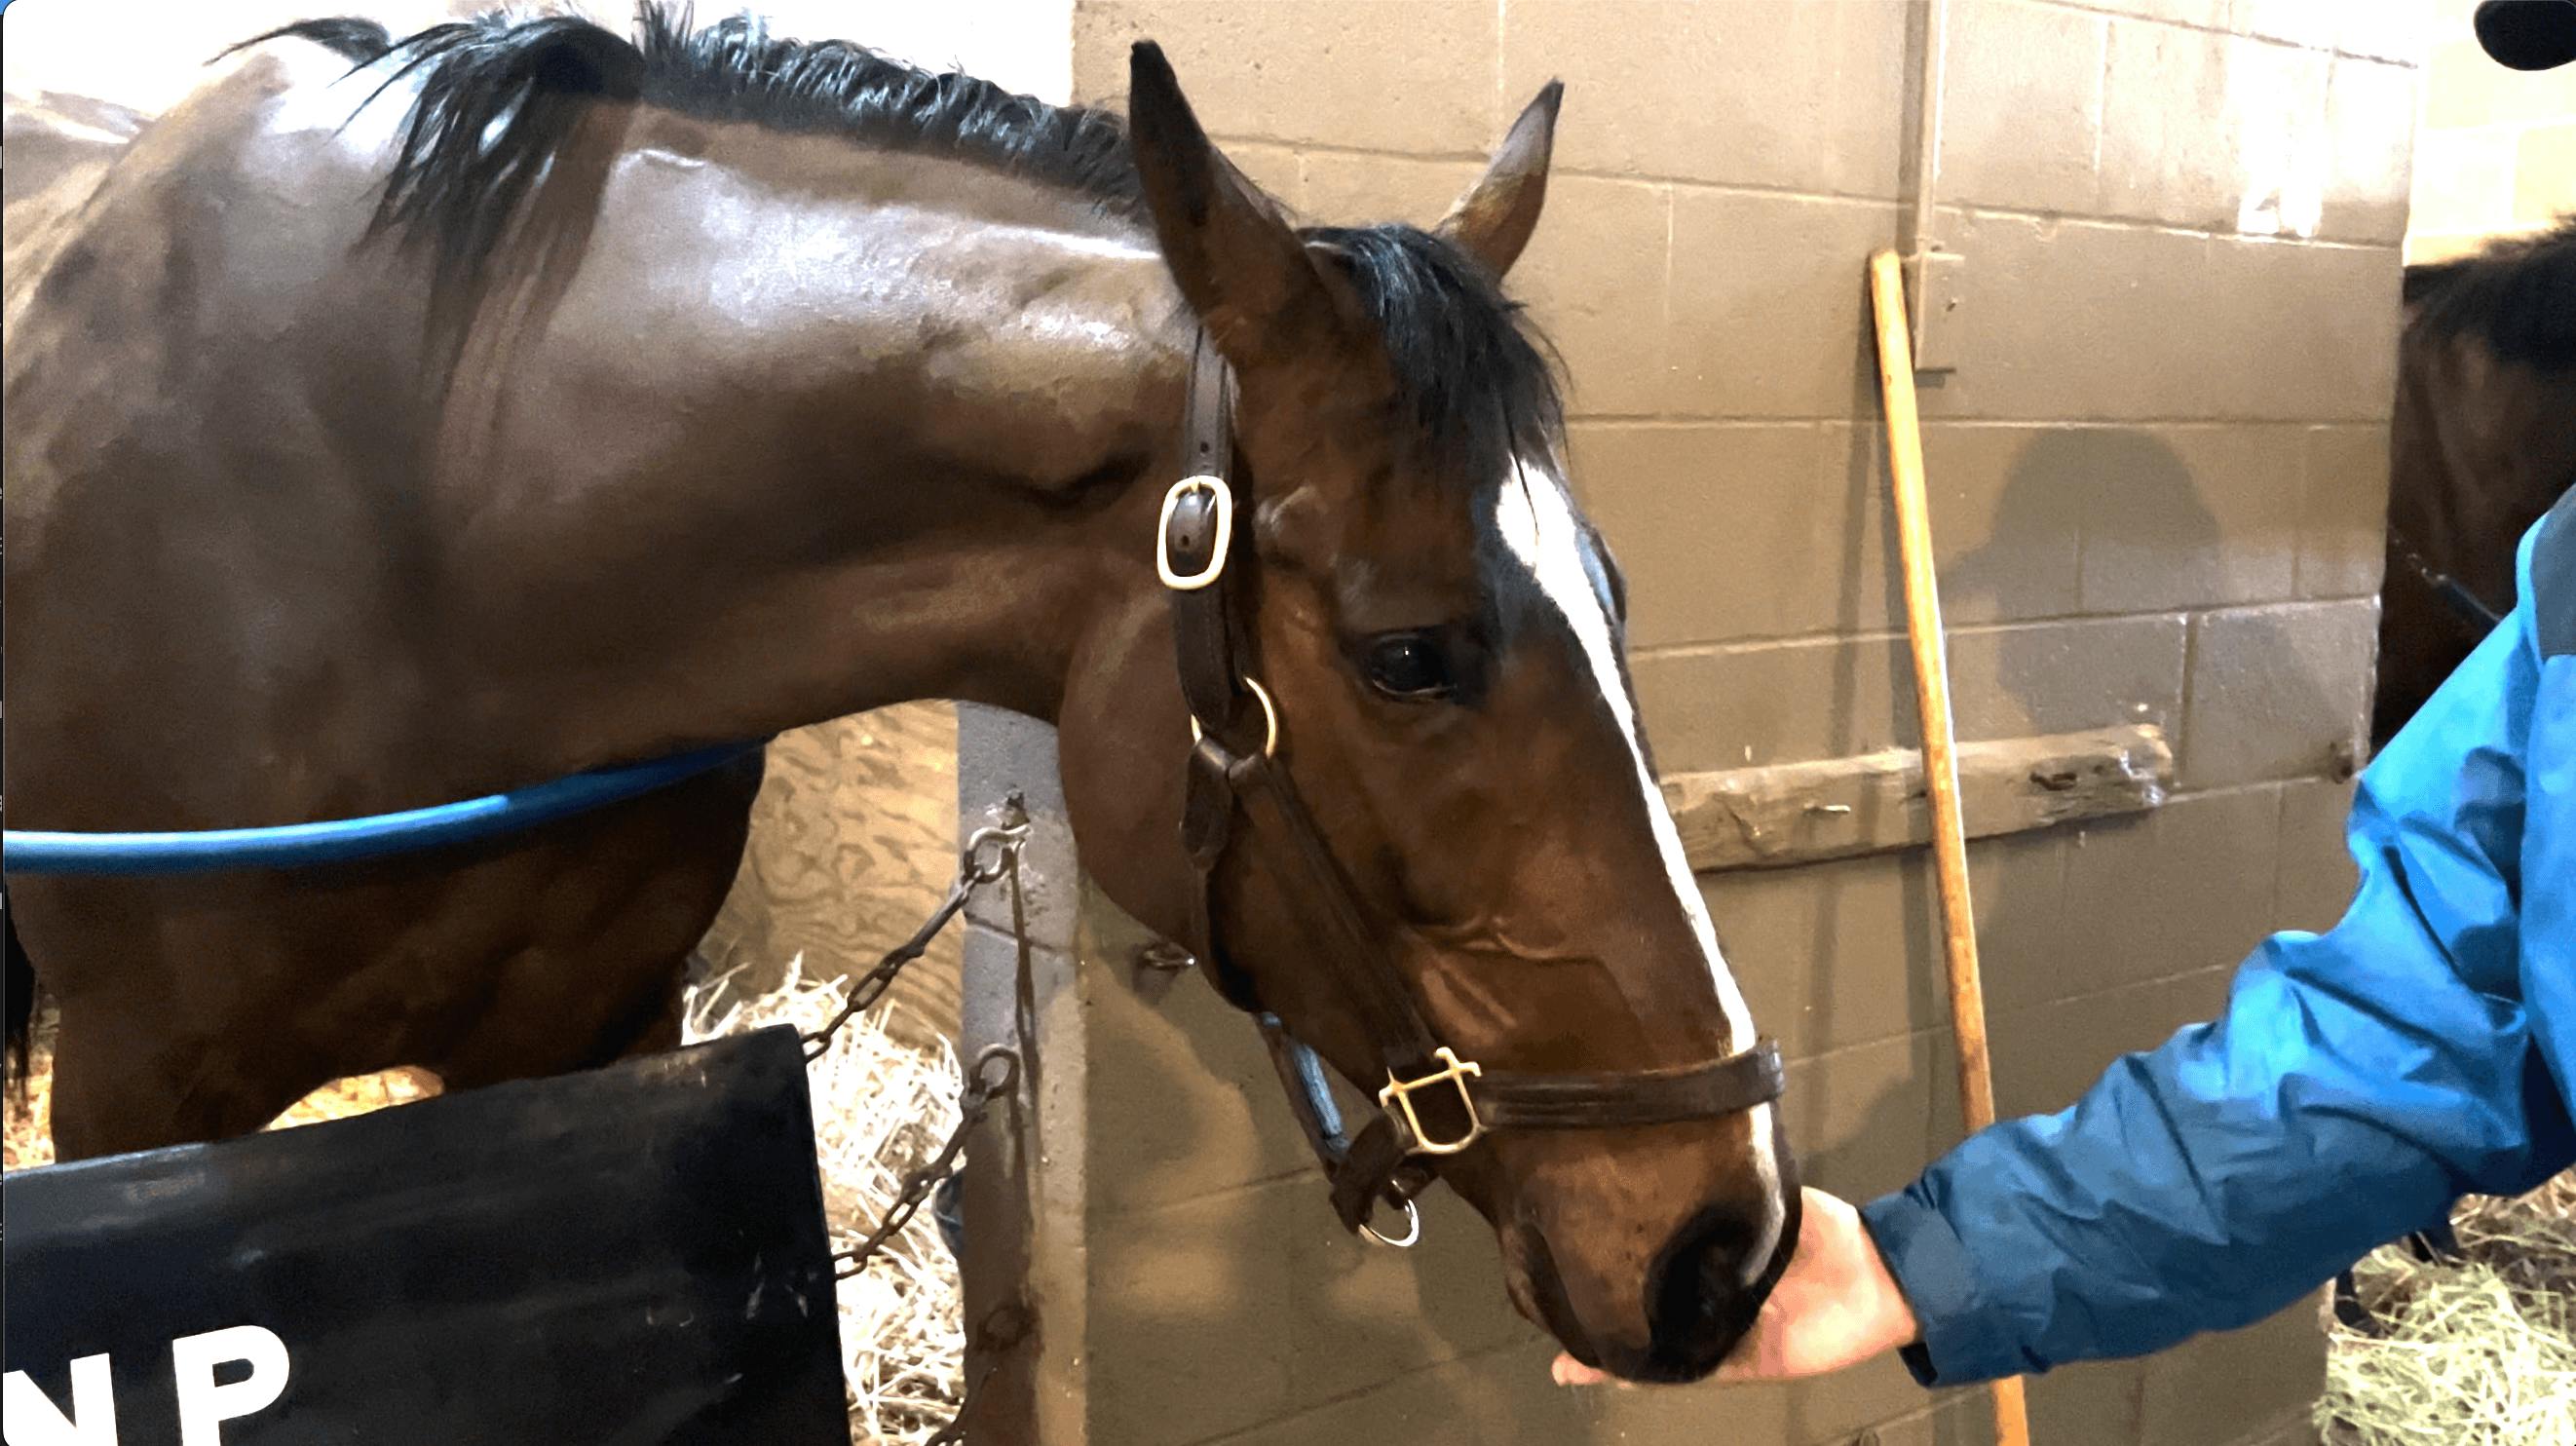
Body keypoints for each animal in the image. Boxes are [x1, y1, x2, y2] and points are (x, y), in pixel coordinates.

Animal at [5, 5, 1793, 1371]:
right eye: (1406, 654)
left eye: (1612, 598)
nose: (1731, 1238)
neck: (419, 529)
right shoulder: (129, 1103)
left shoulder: (594, 1032)